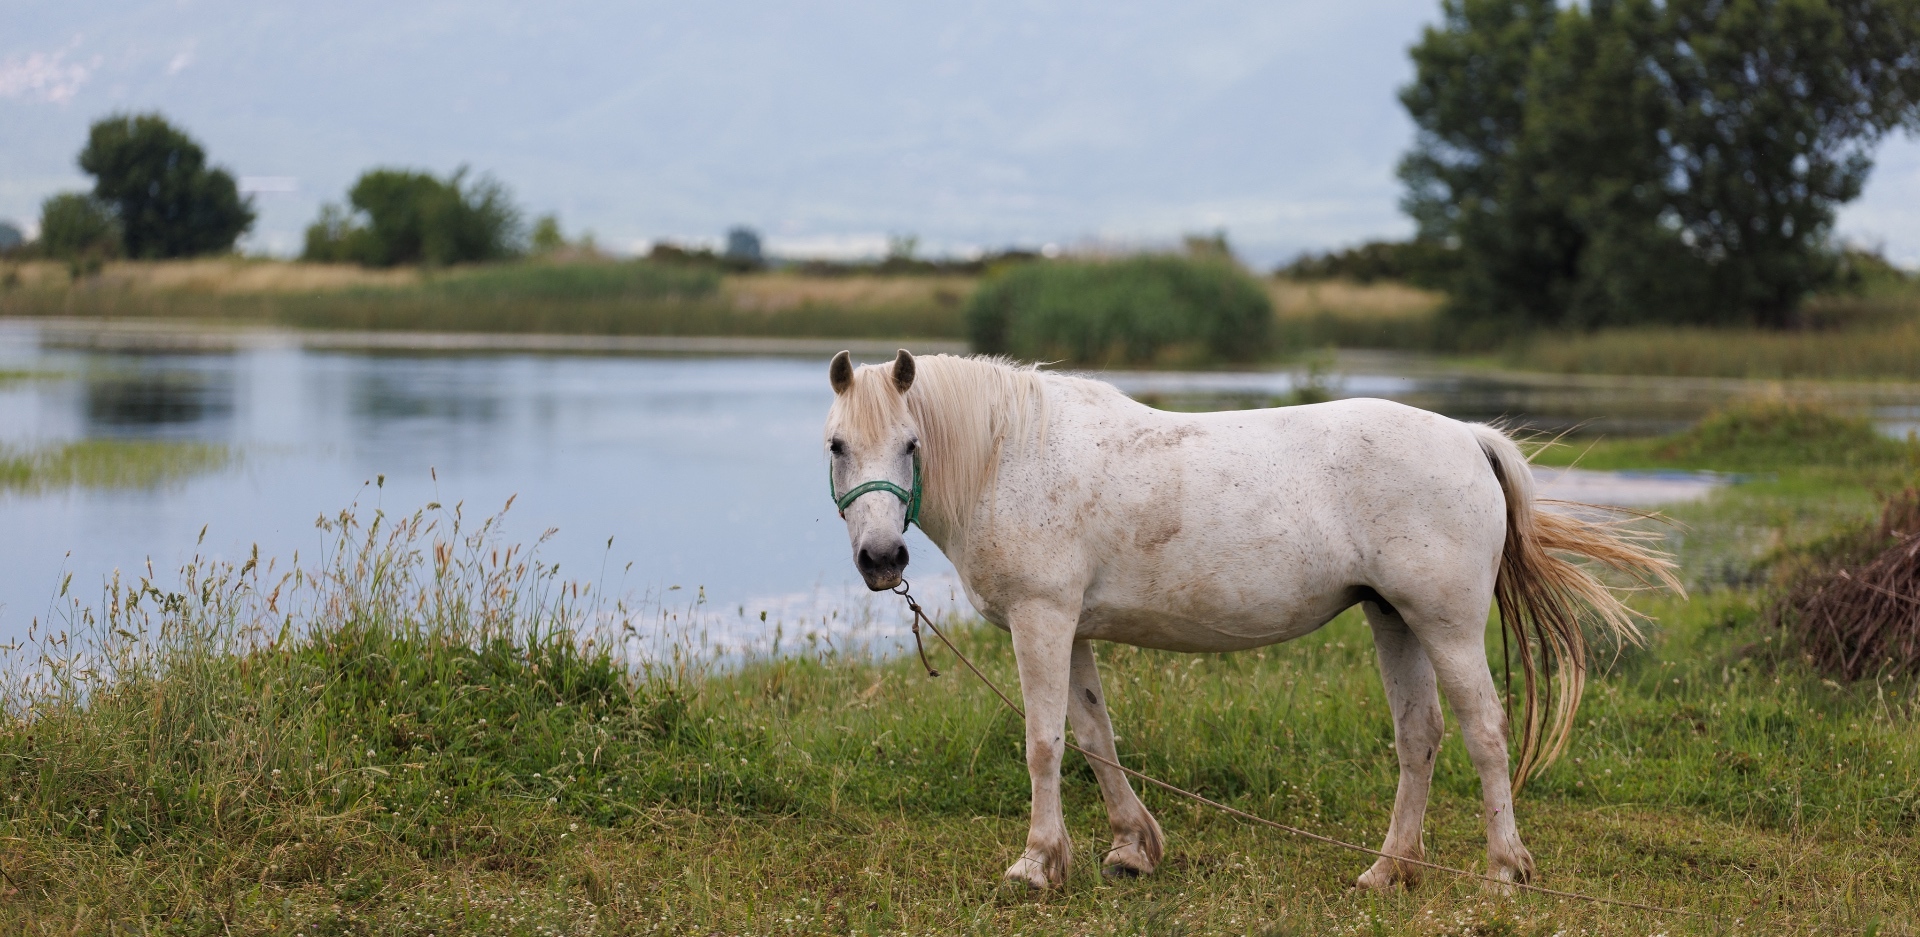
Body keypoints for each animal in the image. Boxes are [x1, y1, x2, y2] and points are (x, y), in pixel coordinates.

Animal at [825, 347, 1681, 890]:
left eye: (911, 442)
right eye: (837, 444)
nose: (882, 558)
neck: (1013, 456)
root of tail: (1467, 438)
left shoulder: (1043, 620)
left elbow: (1044, 744)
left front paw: (1036, 865)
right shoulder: (1071, 630)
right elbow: (1096, 738)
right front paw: (1133, 848)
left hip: (1444, 625)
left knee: (1485, 731)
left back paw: (1504, 869)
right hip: (1394, 620)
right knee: (1420, 736)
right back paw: (1388, 868)